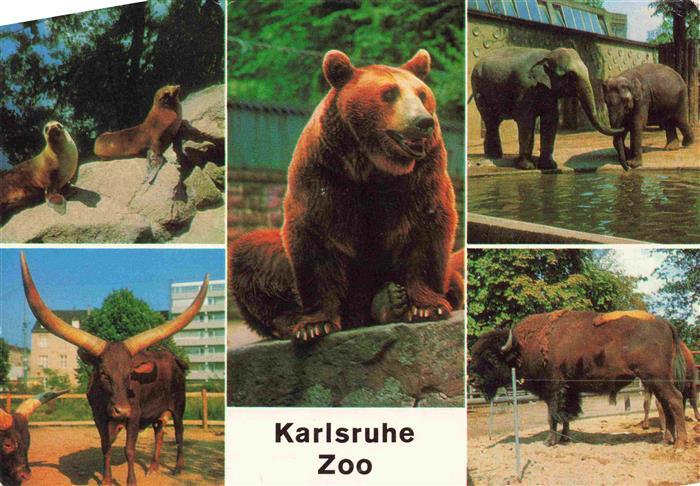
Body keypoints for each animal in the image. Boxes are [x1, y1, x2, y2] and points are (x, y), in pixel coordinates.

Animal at [20, 252, 209, 486]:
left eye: (130, 375)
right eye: (103, 373)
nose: (122, 410)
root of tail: (174, 359)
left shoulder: (135, 415)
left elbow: (129, 450)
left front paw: (131, 481)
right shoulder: (99, 417)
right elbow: (106, 447)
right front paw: (107, 479)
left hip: (179, 405)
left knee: (179, 433)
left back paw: (177, 468)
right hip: (158, 411)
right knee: (160, 432)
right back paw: (153, 468)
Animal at [469, 310, 689, 447]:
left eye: (491, 357)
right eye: (474, 353)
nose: (471, 379)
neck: (521, 348)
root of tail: (665, 323)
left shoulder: (553, 389)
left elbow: (552, 416)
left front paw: (550, 441)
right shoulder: (570, 390)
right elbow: (567, 416)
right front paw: (565, 439)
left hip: (657, 378)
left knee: (675, 400)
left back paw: (680, 445)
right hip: (655, 381)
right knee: (666, 405)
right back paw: (667, 440)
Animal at [470, 47, 621, 170]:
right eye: (570, 75)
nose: (622, 128)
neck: (547, 55)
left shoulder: (549, 91)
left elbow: (550, 119)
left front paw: (550, 166)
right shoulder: (525, 88)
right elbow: (526, 121)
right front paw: (527, 167)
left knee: (494, 122)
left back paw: (494, 154)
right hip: (479, 87)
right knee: (490, 120)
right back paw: (494, 155)